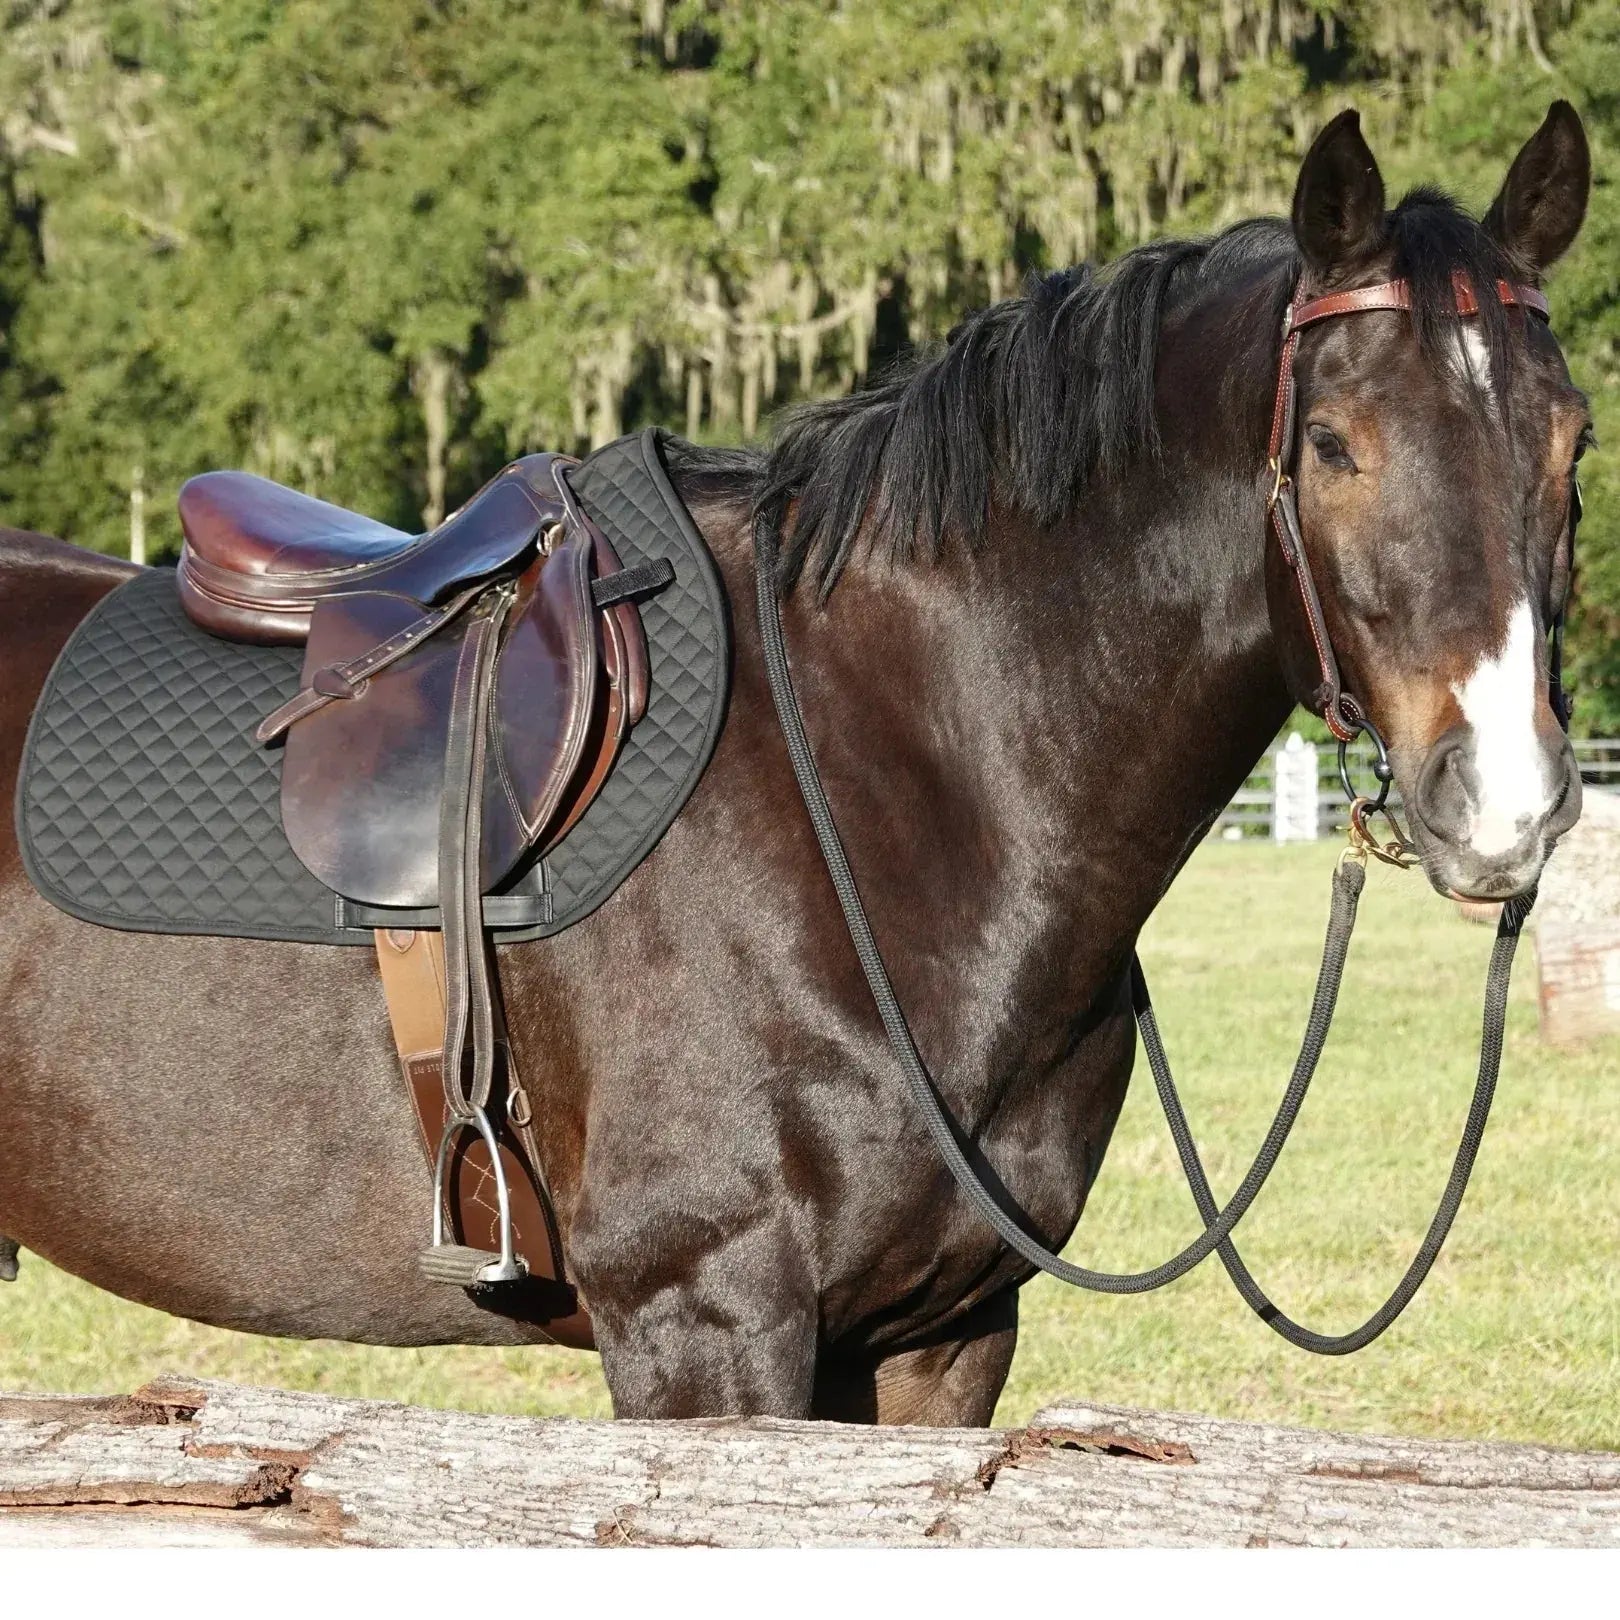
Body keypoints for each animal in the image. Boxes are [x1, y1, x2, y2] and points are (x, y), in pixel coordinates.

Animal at [0, 104, 1591, 1423]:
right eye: (1332, 443)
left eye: (1571, 442)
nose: (1505, 804)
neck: (885, 785)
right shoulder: (706, 1325)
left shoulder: (944, 1336)